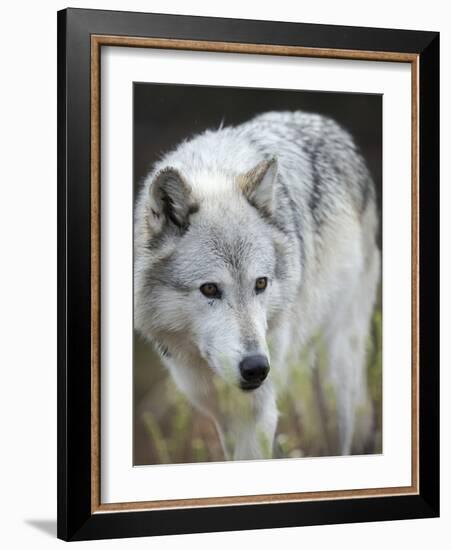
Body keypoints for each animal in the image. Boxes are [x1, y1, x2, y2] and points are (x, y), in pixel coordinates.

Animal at [134, 111, 382, 462]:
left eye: (261, 283)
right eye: (209, 289)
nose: (256, 368)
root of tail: (327, 124)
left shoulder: (258, 411)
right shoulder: (220, 413)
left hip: (336, 377)